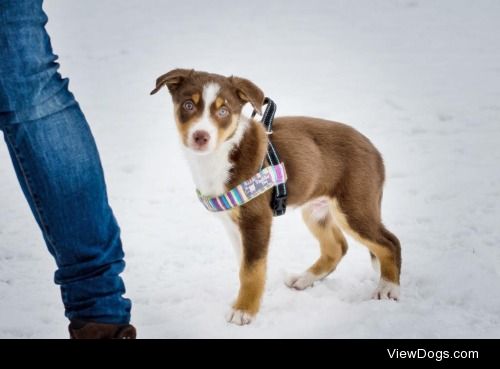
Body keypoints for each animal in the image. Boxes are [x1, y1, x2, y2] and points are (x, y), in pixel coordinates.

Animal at [150, 69, 400, 324]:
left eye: (223, 111)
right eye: (188, 105)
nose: (201, 136)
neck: (220, 154)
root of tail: (374, 150)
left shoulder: (257, 218)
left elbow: (252, 269)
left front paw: (244, 311)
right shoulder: (234, 223)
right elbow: (246, 266)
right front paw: (251, 300)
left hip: (354, 207)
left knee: (389, 242)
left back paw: (388, 288)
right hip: (315, 209)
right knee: (337, 247)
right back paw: (304, 279)